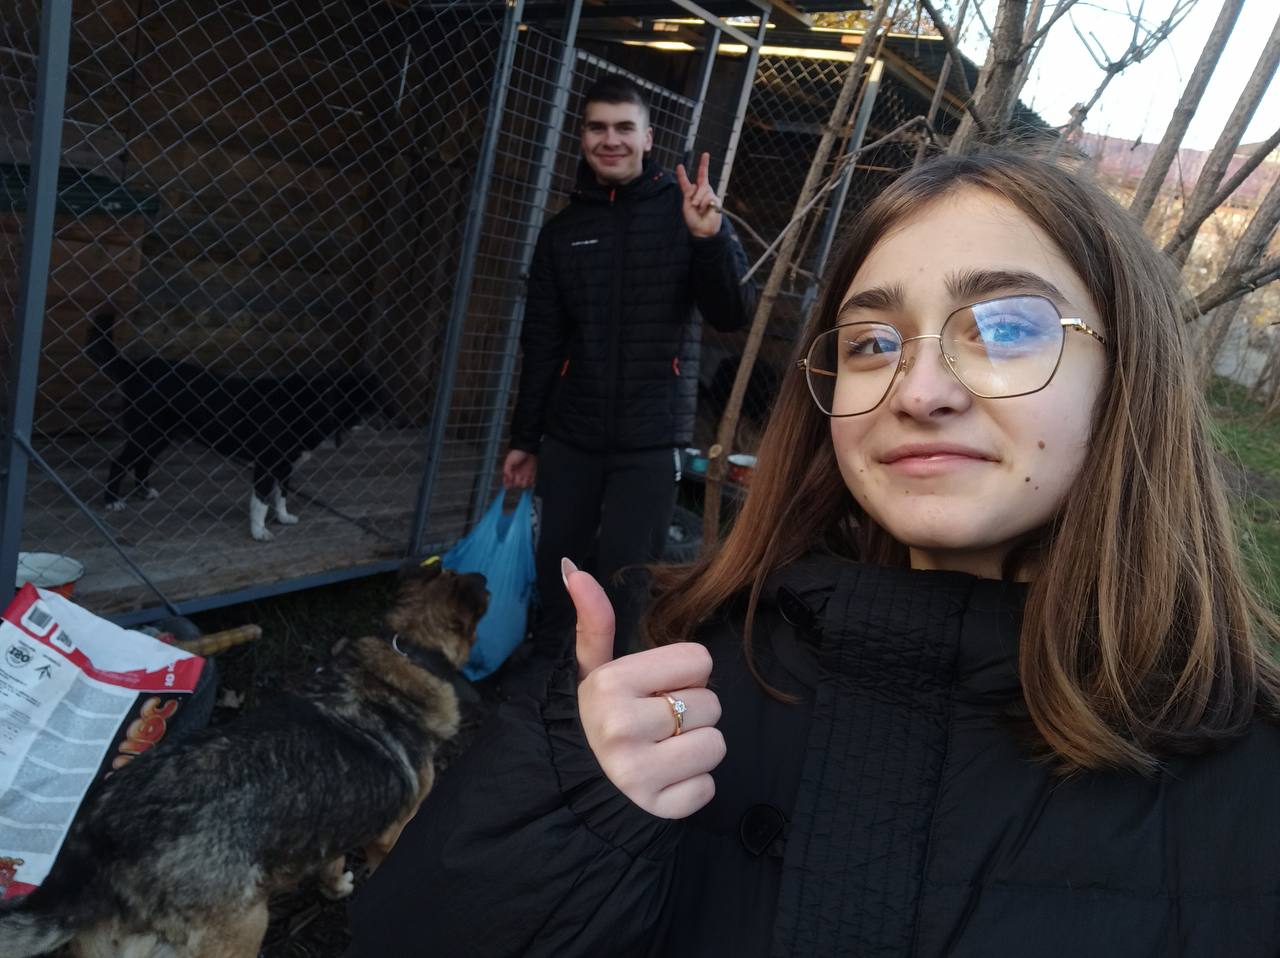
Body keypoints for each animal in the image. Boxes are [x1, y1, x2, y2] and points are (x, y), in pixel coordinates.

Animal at [0, 558, 488, 958]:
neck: (406, 650)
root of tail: (107, 847)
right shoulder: (391, 835)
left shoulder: (337, 827)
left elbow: (332, 862)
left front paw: (335, 887)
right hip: (245, 927)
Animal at [87, 310, 386, 541]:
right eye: (370, 398)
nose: (389, 418)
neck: (306, 404)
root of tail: (135, 367)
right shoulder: (266, 463)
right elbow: (261, 502)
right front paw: (259, 532)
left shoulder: (285, 466)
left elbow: (281, 496)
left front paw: (284, 518)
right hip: (145, 432)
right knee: (119, 462)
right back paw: (112, 500)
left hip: (159, 435)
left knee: (142, 462)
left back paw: (144, 491)